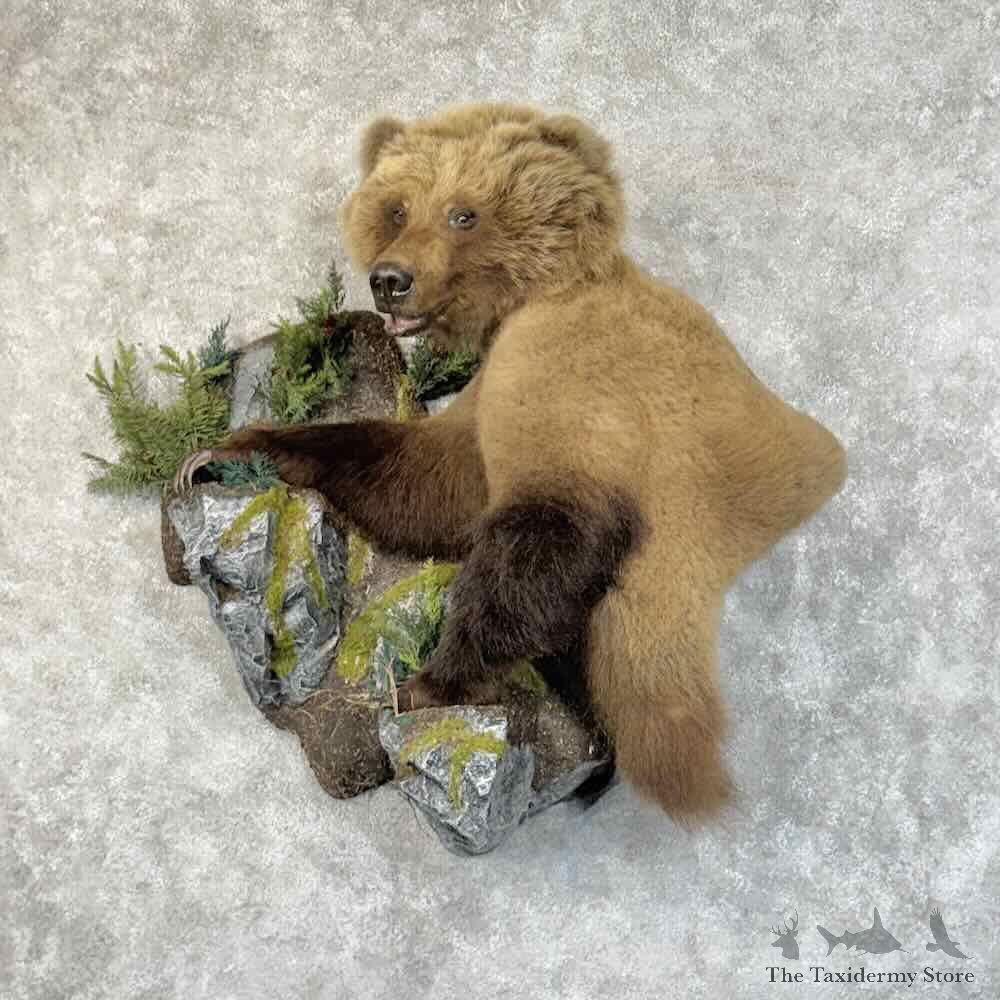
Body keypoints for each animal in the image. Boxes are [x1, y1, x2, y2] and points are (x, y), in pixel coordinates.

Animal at [177, 103, 846, 822]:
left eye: (463, 213)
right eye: (397, 208)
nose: (388, 280)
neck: (536, 296)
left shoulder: (569, 382)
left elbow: (533, 534)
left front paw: (424, 684)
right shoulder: (488, 401)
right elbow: (425, 480)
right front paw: (224, 452)